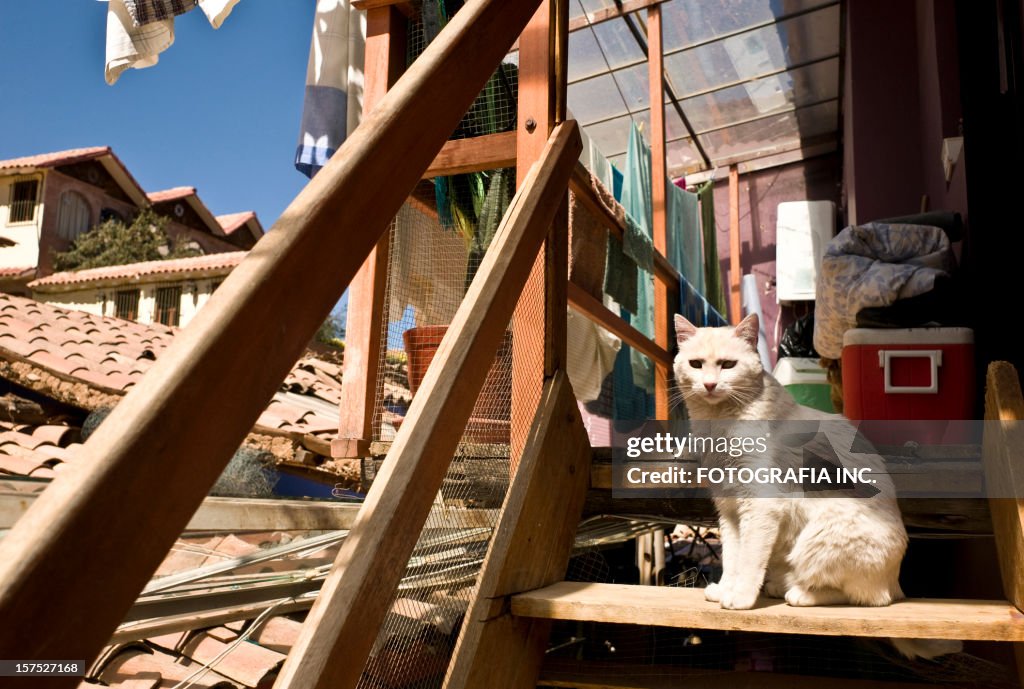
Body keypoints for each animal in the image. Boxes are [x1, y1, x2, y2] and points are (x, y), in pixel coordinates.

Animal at [671, 313, 958, 659]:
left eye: (727, 365)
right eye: (696, 364)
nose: (710, 384)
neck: (718, 424)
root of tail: (897, 585)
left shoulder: (760, 506)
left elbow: (749, 558)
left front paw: (739, 598)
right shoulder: (729, 511)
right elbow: (732, 557)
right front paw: (726, 589)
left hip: (819, 539)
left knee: (864, 598)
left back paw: (798, 593)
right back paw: (779, 586)